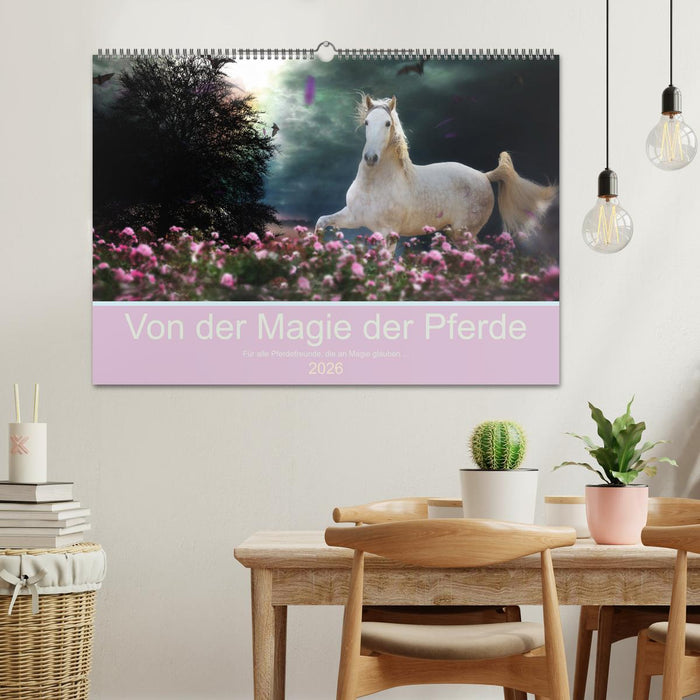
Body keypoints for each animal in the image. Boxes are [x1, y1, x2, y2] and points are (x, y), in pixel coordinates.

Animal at [315, 95, 557, 250]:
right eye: (366, 122)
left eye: (387, 124)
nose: (371, 158)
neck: (375, 185)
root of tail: (484, 176)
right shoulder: (353, 217)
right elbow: (321, 221)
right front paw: (317, 248)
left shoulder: (388, 232)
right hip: (453, 232)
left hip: (464, 232)